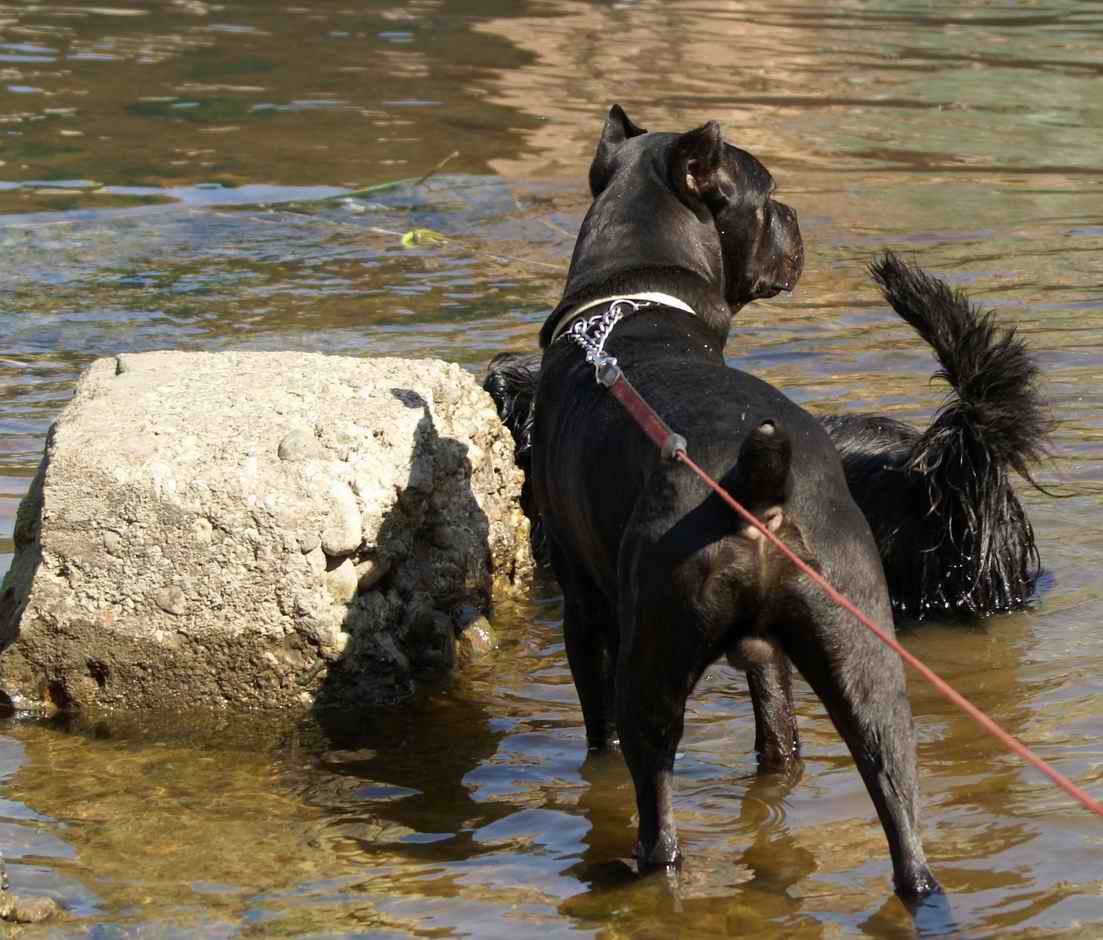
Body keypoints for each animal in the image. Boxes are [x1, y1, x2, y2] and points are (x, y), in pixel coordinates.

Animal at [518, 105, 940, 903]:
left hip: (648, 669)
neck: (630, 297)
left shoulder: (585, 613)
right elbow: (776, 735)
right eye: (766, 191)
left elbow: (597, 730)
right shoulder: (769, 661)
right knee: (898, 799)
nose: (793, 212)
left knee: (657, 816)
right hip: (863, 652)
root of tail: (755, 480)